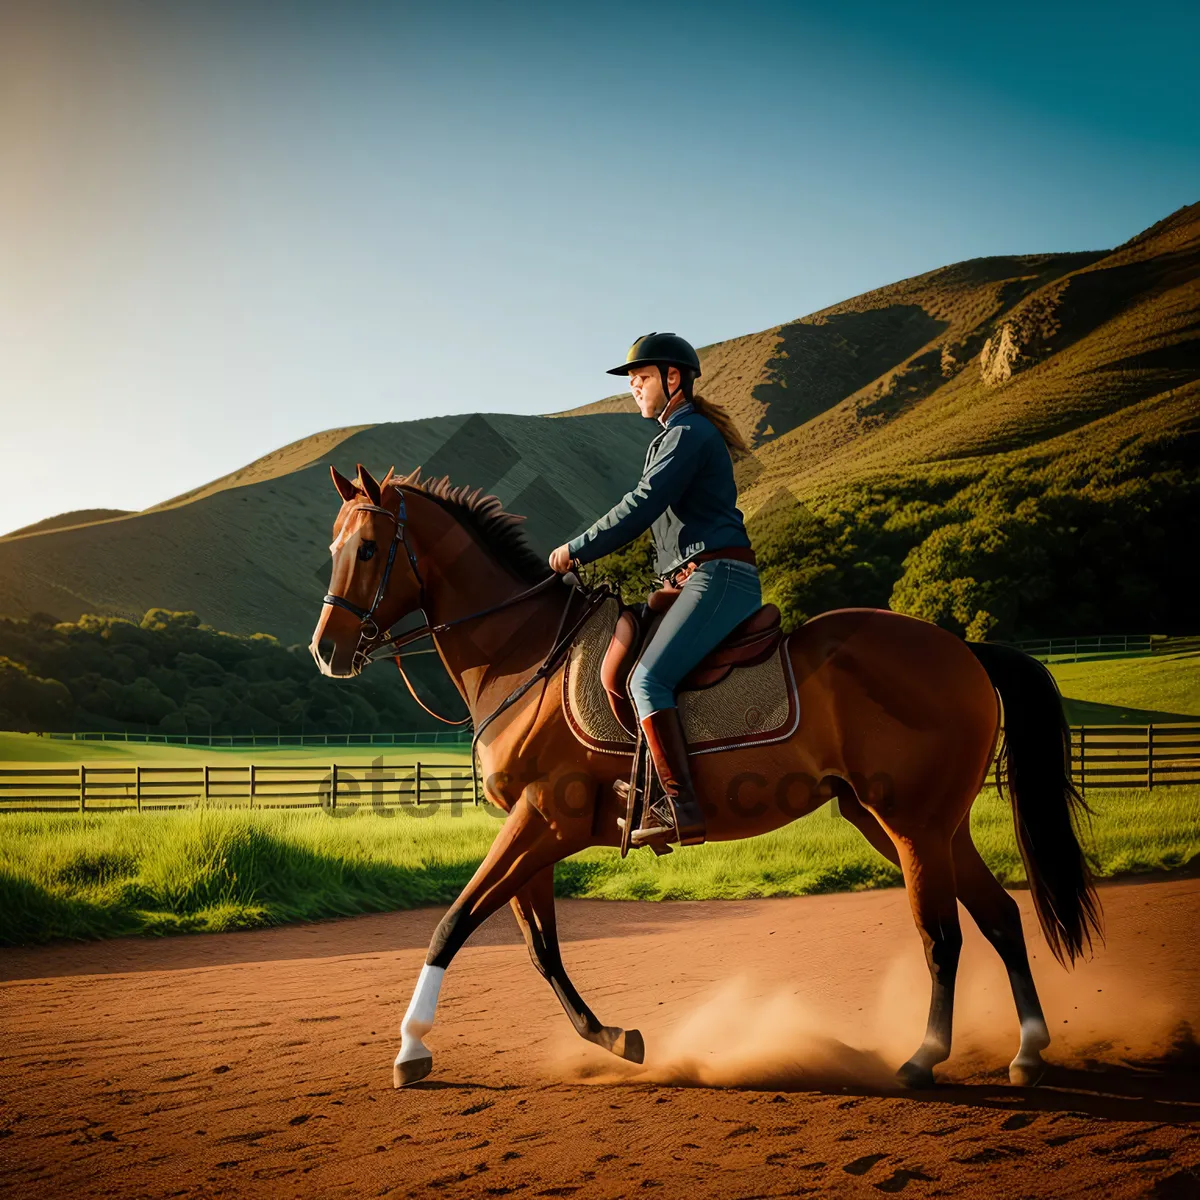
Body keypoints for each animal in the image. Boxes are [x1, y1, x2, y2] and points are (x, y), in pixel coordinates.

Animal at [312, 463, 1104, 1094]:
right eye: (333, 547)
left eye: (370, 548)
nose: (327, 651)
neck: (526, 654)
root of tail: (961, 648)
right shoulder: (534, 831)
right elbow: (541, 950)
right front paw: (616, 1040)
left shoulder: (544, 821)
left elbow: (454, 922)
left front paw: (411, 1049)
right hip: (919, 826)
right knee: (998, 916)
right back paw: (1029, 1052)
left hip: (911, 826)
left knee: (943, 934)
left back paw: (922, 1059)